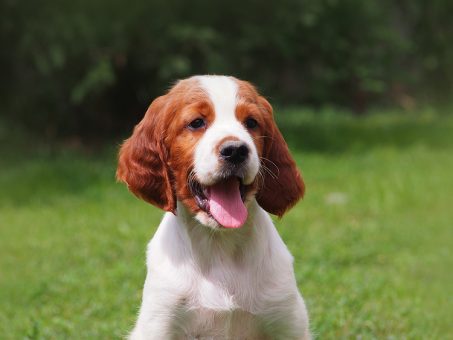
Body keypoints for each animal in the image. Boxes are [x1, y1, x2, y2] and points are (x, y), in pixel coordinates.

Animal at [115, 75, 310, 338]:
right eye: (197, 122)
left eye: (251, 122)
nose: (235, 151)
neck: (219, 244)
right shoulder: (161, 323)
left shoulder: (287, 322)